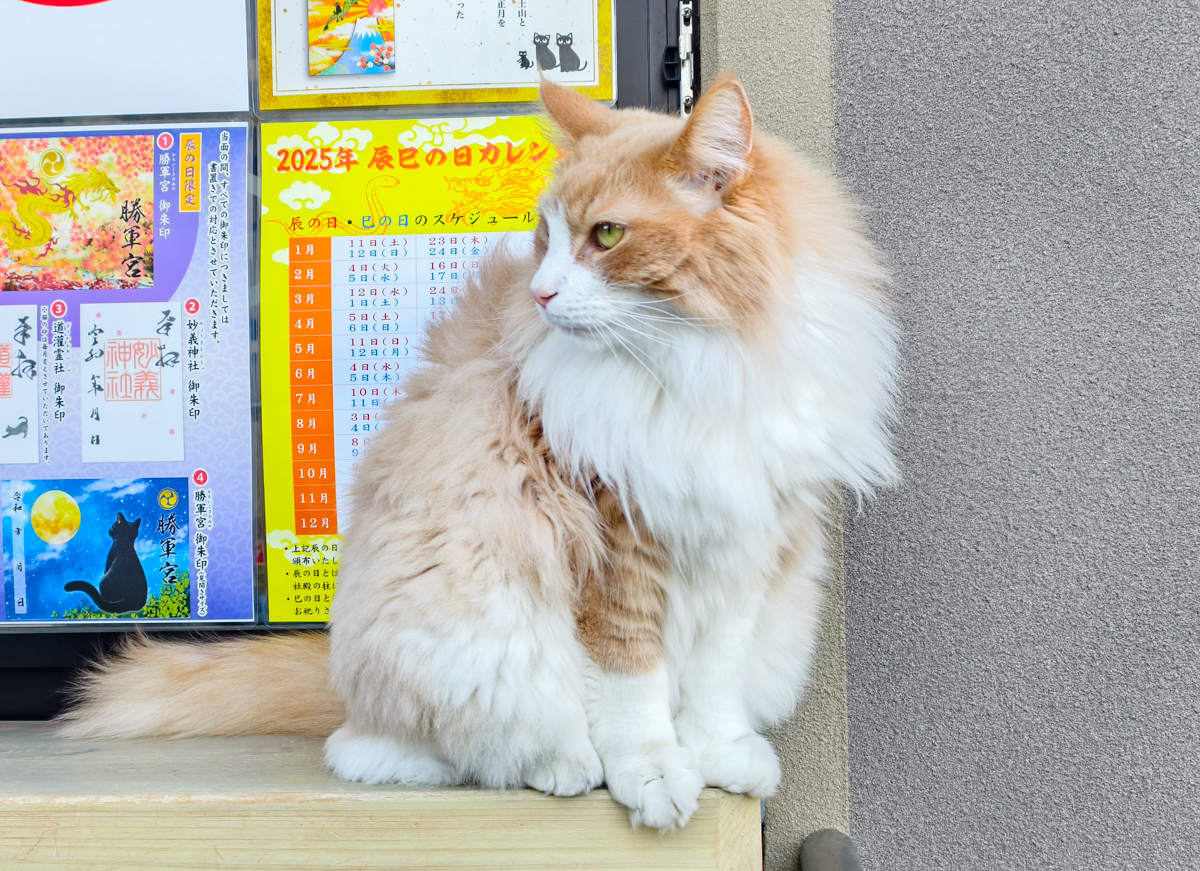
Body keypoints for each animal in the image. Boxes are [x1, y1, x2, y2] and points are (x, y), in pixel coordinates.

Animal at [58, 74, 902, 830]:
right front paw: (654, 771)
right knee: (397, 750)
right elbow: (632, 681)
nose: (542, 293)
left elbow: (717, 675)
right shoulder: (616, 537)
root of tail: (344, 674)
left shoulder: (749, 534)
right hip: (455, 623)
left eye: (605, 235)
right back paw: (562, 765)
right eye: (546, 236)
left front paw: (718, 752)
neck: (707, 358)